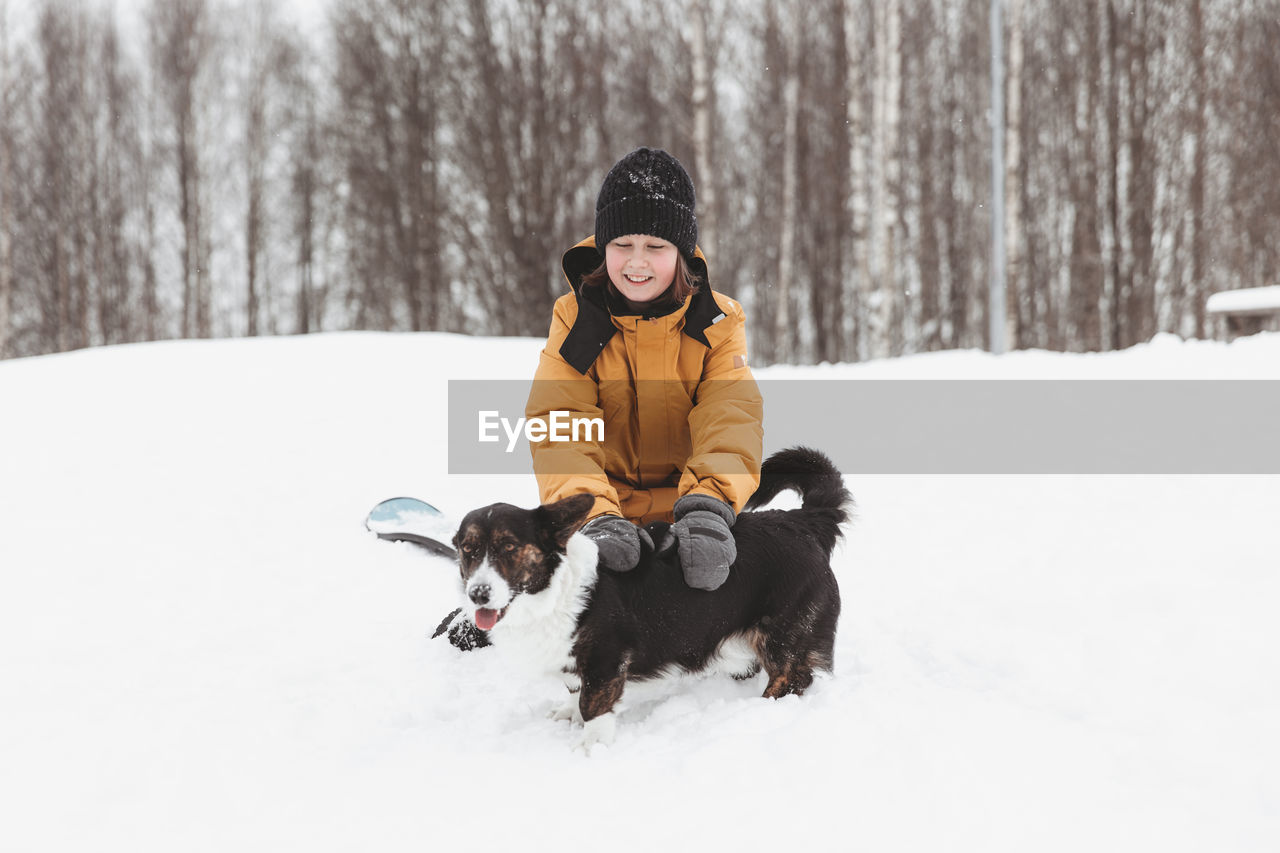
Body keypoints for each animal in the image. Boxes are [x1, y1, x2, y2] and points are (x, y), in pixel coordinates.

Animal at [448, 445, 849, 742]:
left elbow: (593, 708)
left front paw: (590, 750)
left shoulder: (606, 661)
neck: (552, 590)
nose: (478, 594)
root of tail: (805, 523)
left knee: (793, 677)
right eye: (468, 549)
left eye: (509, 547)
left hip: (783, 635)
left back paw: (763, 709)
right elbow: (575, 692)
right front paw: (568, 713)